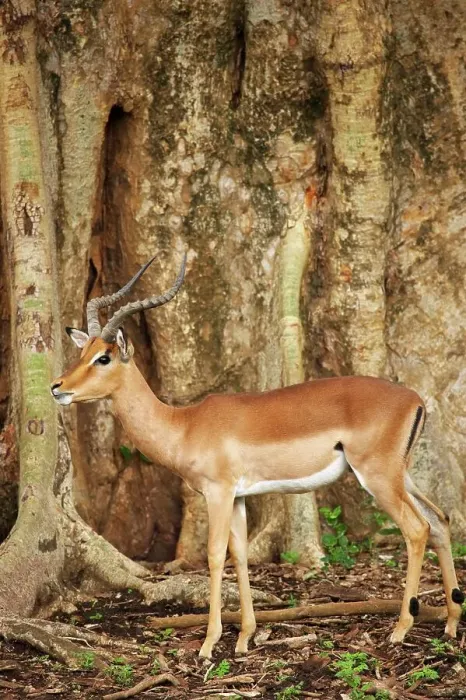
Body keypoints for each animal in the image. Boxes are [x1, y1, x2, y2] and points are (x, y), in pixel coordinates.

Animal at [51, 255, 464, 659]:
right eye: (82, 352)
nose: (57, 387)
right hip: (401, 475)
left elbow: (215, 555)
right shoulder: (239, 497)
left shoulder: (218, 493)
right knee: (440, 520)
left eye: (103, 358)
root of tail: (415, 399)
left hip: (378, 477)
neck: (184, 425)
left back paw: (401, 628)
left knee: (416, 529)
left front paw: (209, 644)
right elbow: (241, 554)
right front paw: (245, 636)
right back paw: (449, 622)